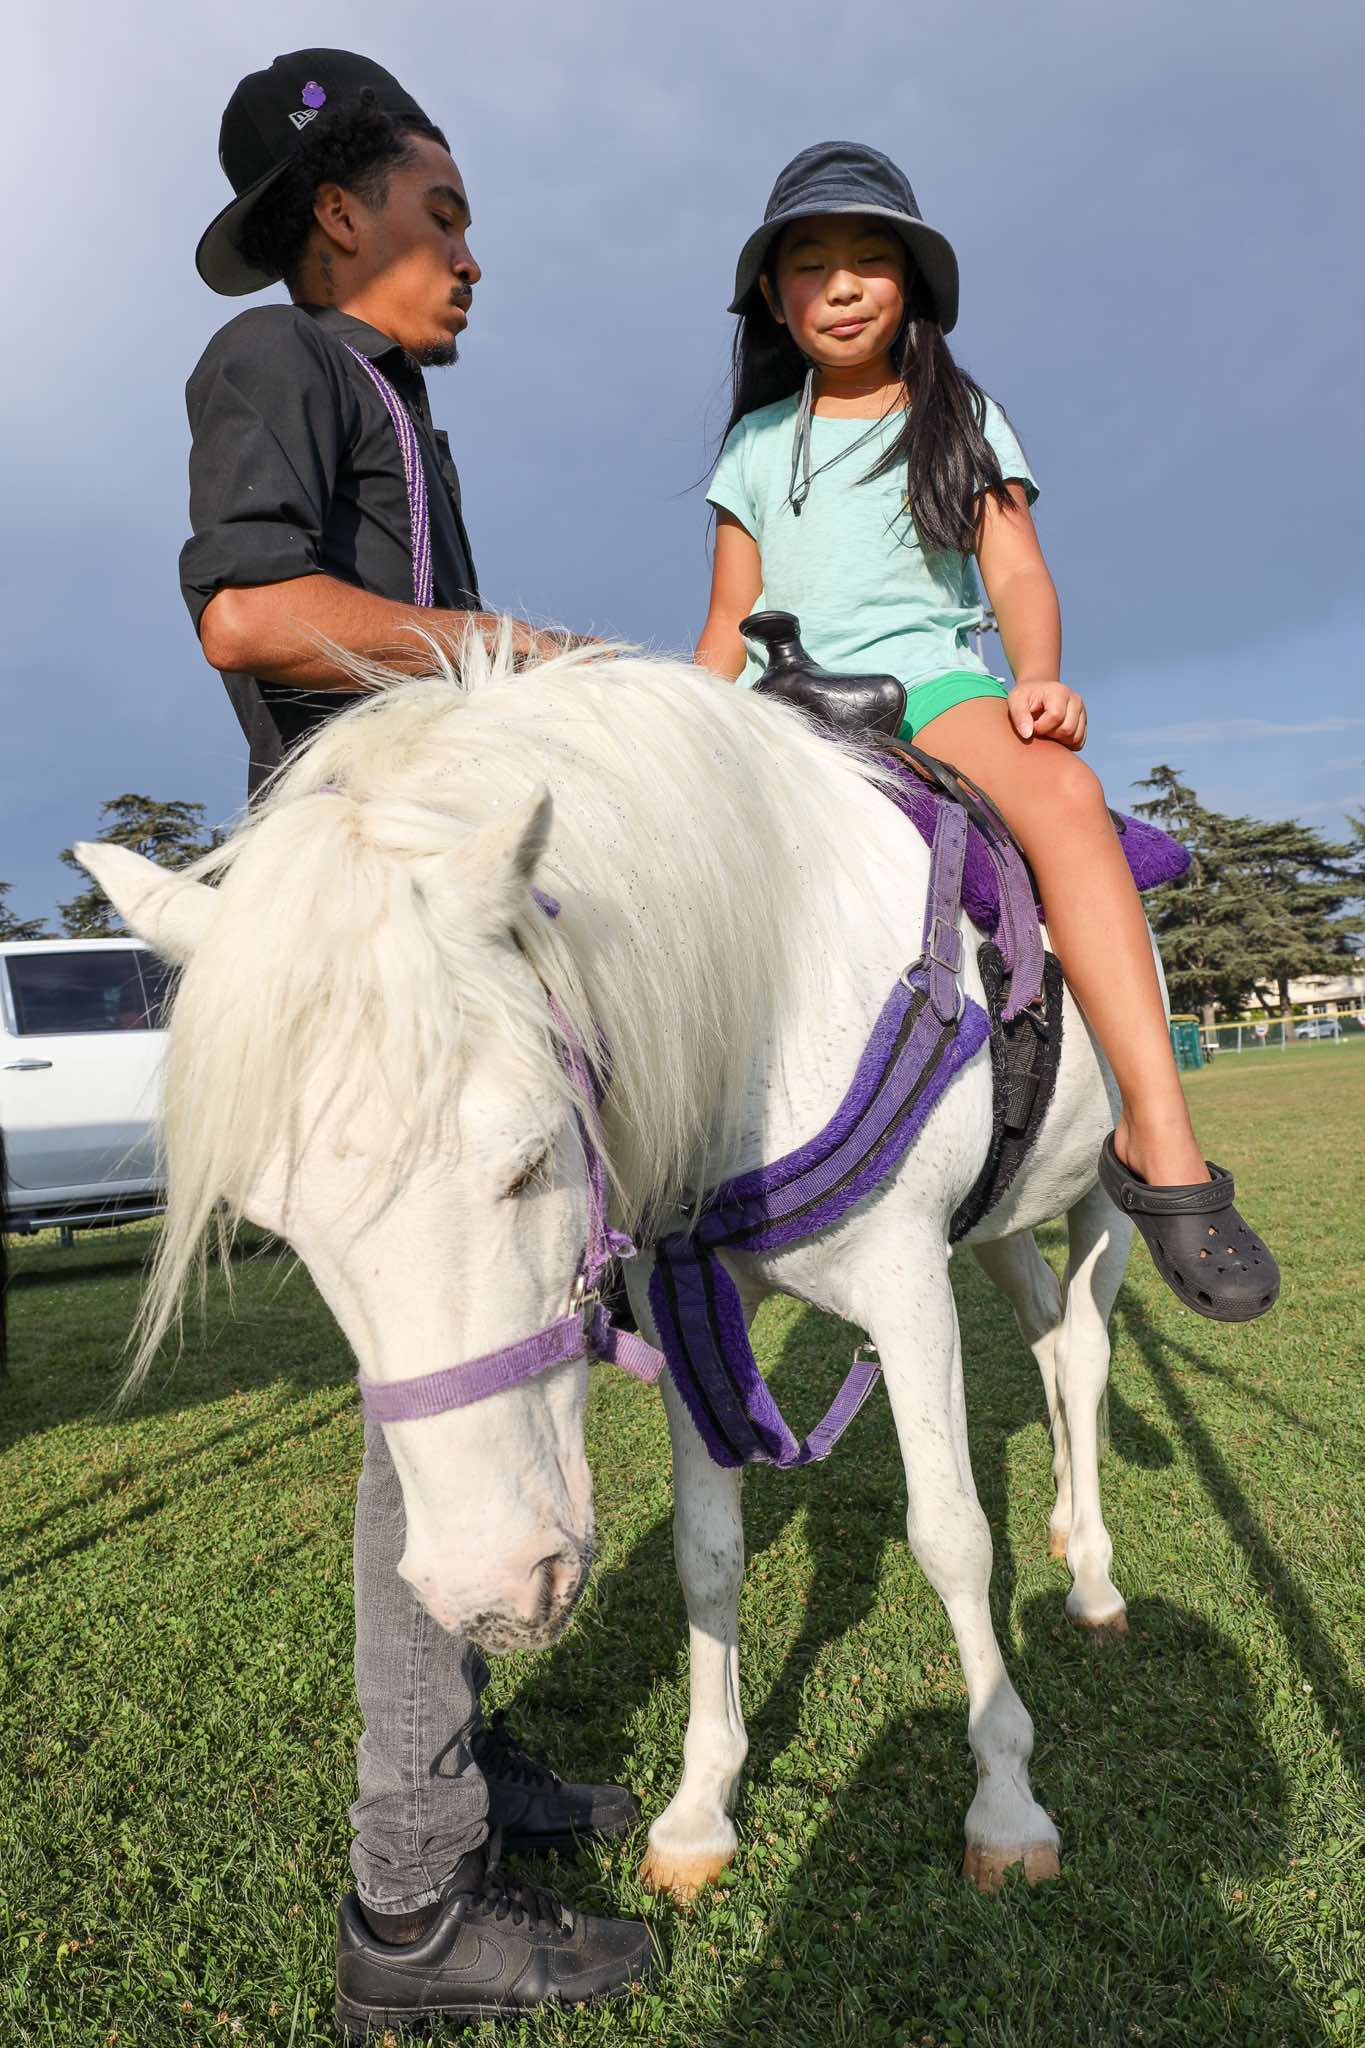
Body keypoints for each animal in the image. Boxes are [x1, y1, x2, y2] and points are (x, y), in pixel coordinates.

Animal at [78, 629, 1135, 1895]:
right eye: (274, 1221)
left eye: (533, 1155)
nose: (488, 1591)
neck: (773, 981)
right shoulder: (692, 1306)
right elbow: (708, 1552)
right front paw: (699, 1807)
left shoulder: (906, 1287)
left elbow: (952, 1536)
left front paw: (1007, 1799)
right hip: (1007, 1220)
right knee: (1047, 1340)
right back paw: (1070, 1529)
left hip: (1106, 1194)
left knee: (1085, 1352)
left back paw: (1096, 1574)